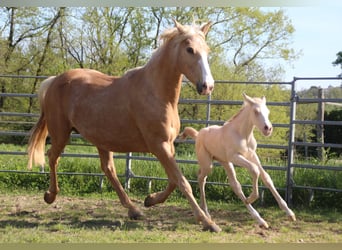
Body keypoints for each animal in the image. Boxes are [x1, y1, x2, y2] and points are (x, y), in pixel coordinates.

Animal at [26, 19, 222, 232]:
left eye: (207, 50)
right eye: (190, 49)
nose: (207, 86)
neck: (156, 93)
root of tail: (55, 80)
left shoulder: (168, 145)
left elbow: (172, 180)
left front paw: (150, 200)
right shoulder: (158, 145)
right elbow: (182, 181)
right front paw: (208, 222)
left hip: (101, 140)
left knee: (108, 169)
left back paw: (134, 210)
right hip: (61, 133)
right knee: (53, 157)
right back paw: (50, 196)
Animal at [180, 93, 296, 228]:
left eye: (268, 111)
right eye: (256, 111)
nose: (268, 129)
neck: (243, 135)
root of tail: (198, 134)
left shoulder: (252, 155)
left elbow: (266, 178)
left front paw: (289, 213)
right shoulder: (235, 156)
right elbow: (254, 170)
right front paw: (252, 197)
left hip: (225, 162)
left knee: (235, 185)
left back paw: (259, 219)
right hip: (208, 164)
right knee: (201, 178)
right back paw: (207, 213)